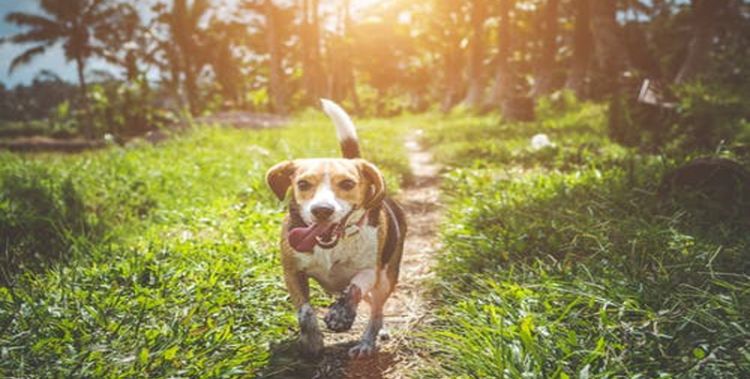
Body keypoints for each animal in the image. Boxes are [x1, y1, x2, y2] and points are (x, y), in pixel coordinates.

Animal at [264, 98, 406, 360]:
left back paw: (367, 341)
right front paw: (312, 340)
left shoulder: (370, 270)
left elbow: (354, 288)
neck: (333, 245)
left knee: (376, 310)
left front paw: (341, 314)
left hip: (386, 279)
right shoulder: (292, 272)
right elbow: (305, 312)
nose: (322, 210)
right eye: (303, 184)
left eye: (348, 183)